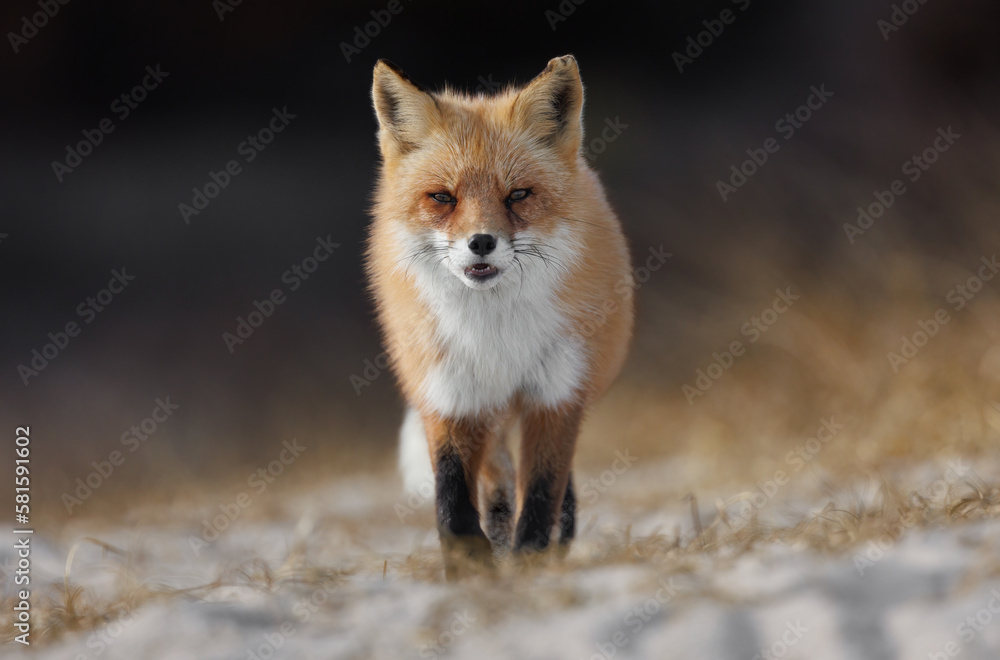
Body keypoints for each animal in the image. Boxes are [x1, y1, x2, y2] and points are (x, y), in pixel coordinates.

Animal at [366, 55, 634, 570]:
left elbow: (544, 494)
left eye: (517, 195)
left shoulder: (555, 395)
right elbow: (452, 503)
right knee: (497, 478)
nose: (481, 242)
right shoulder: (449, 397)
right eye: (443, 197)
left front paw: (531, 563)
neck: (494, 337)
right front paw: (471, 569)